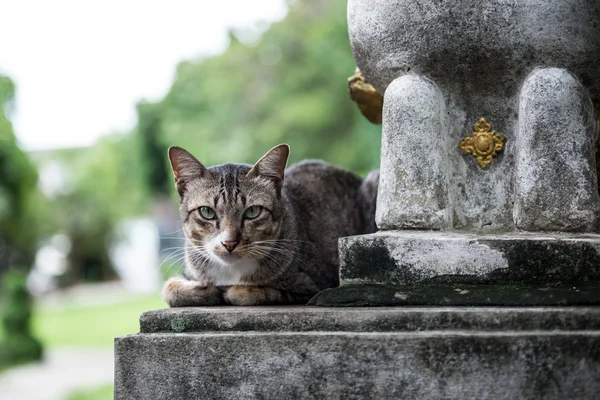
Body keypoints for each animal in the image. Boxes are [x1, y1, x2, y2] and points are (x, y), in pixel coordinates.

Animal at [163, 145, 380, 306]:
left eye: (252, 211)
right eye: (207, 212)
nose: (229, 243)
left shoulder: (315, 286)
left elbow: (258, 292)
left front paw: (231, 291)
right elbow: (169, 288)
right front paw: (204, 289)